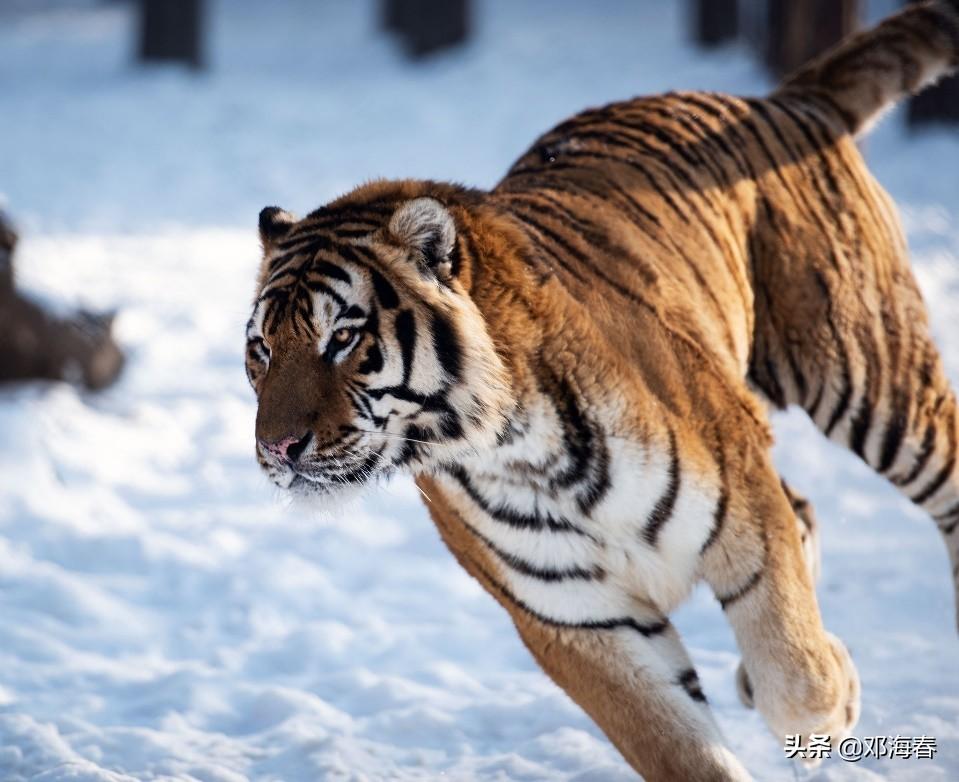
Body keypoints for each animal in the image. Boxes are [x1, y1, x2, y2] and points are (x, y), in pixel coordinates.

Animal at [246, 3, 959, 780]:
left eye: (342, 338)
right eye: (262, 350)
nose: (276, 448)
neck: (508, 451)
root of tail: (774, 98)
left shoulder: (745, 508)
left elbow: (798, 678)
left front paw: (833, 695)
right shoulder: (575, 617)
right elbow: (678, 747)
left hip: (872, 381)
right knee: (805, 505)